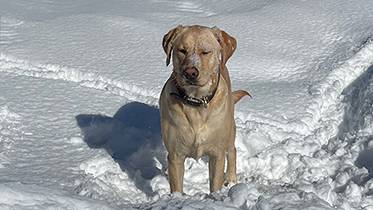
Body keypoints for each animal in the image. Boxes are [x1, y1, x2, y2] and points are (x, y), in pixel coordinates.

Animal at [158, 25, 248, 193]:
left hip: (230, 129)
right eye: (182, 50)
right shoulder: (175, 155)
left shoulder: (217, 154)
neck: (196, 102)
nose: (190, 73)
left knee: (232, 150)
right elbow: (177, 186)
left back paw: (231, 180)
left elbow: (215, 183)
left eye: (205, 52)